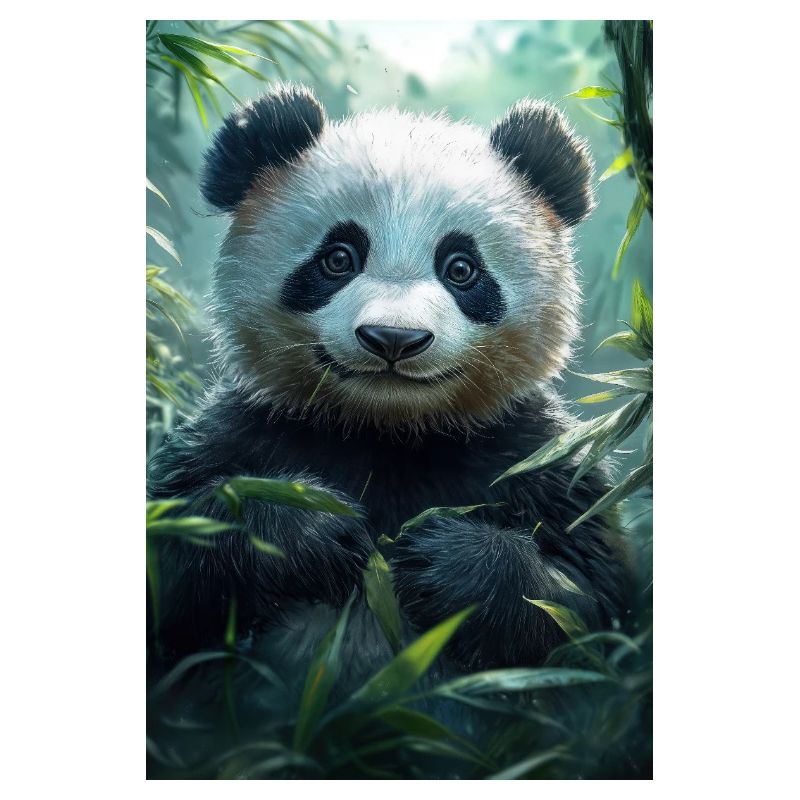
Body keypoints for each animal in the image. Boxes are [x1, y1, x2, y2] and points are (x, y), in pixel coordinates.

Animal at [148, 83, 632, 684]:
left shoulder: (533, 455)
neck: (388, 429)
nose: (394, 338)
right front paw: (317, 530)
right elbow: (173, 554)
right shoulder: (246, 430)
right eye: (337, 258)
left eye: (461, 269)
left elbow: (590, 601)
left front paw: (438, 559)